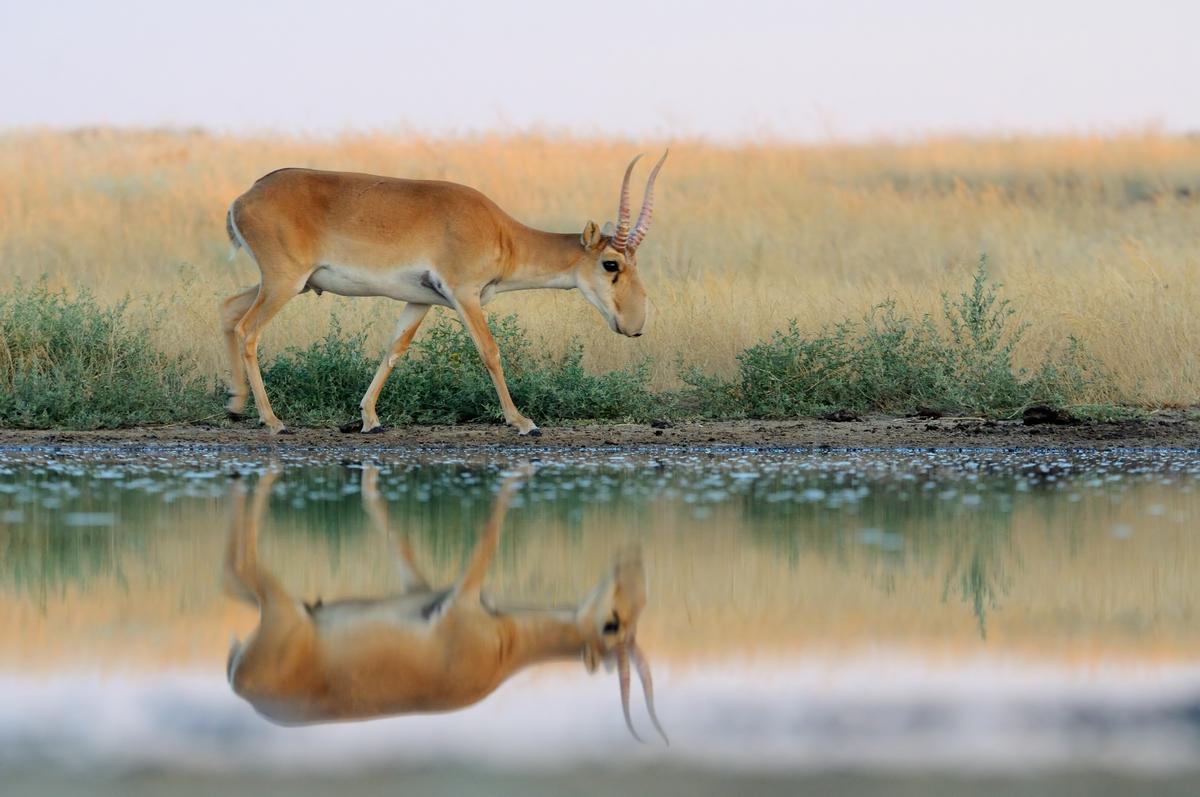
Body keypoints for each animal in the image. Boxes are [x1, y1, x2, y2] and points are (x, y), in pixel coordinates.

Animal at [223, 152, 667, 432]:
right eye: (611, 263)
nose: (635, 324)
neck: (502, 233)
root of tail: (243, 198)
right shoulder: (464, 295)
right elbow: (490, 351)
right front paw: (523, 422)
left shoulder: (420, 300)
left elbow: (394, 349)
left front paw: (370, 419)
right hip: (284, 283)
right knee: (248, 330)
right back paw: (273, 421)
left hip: (288, 284)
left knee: (228, 309)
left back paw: (235, 406)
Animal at [224, 463, 667, 744]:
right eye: (612, 624)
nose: (631, 561)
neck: (504, 646)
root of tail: (240, 683)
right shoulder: (462, 596)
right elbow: (489, 537)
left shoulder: (419, 587)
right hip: (282, 607)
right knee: (239, 565)